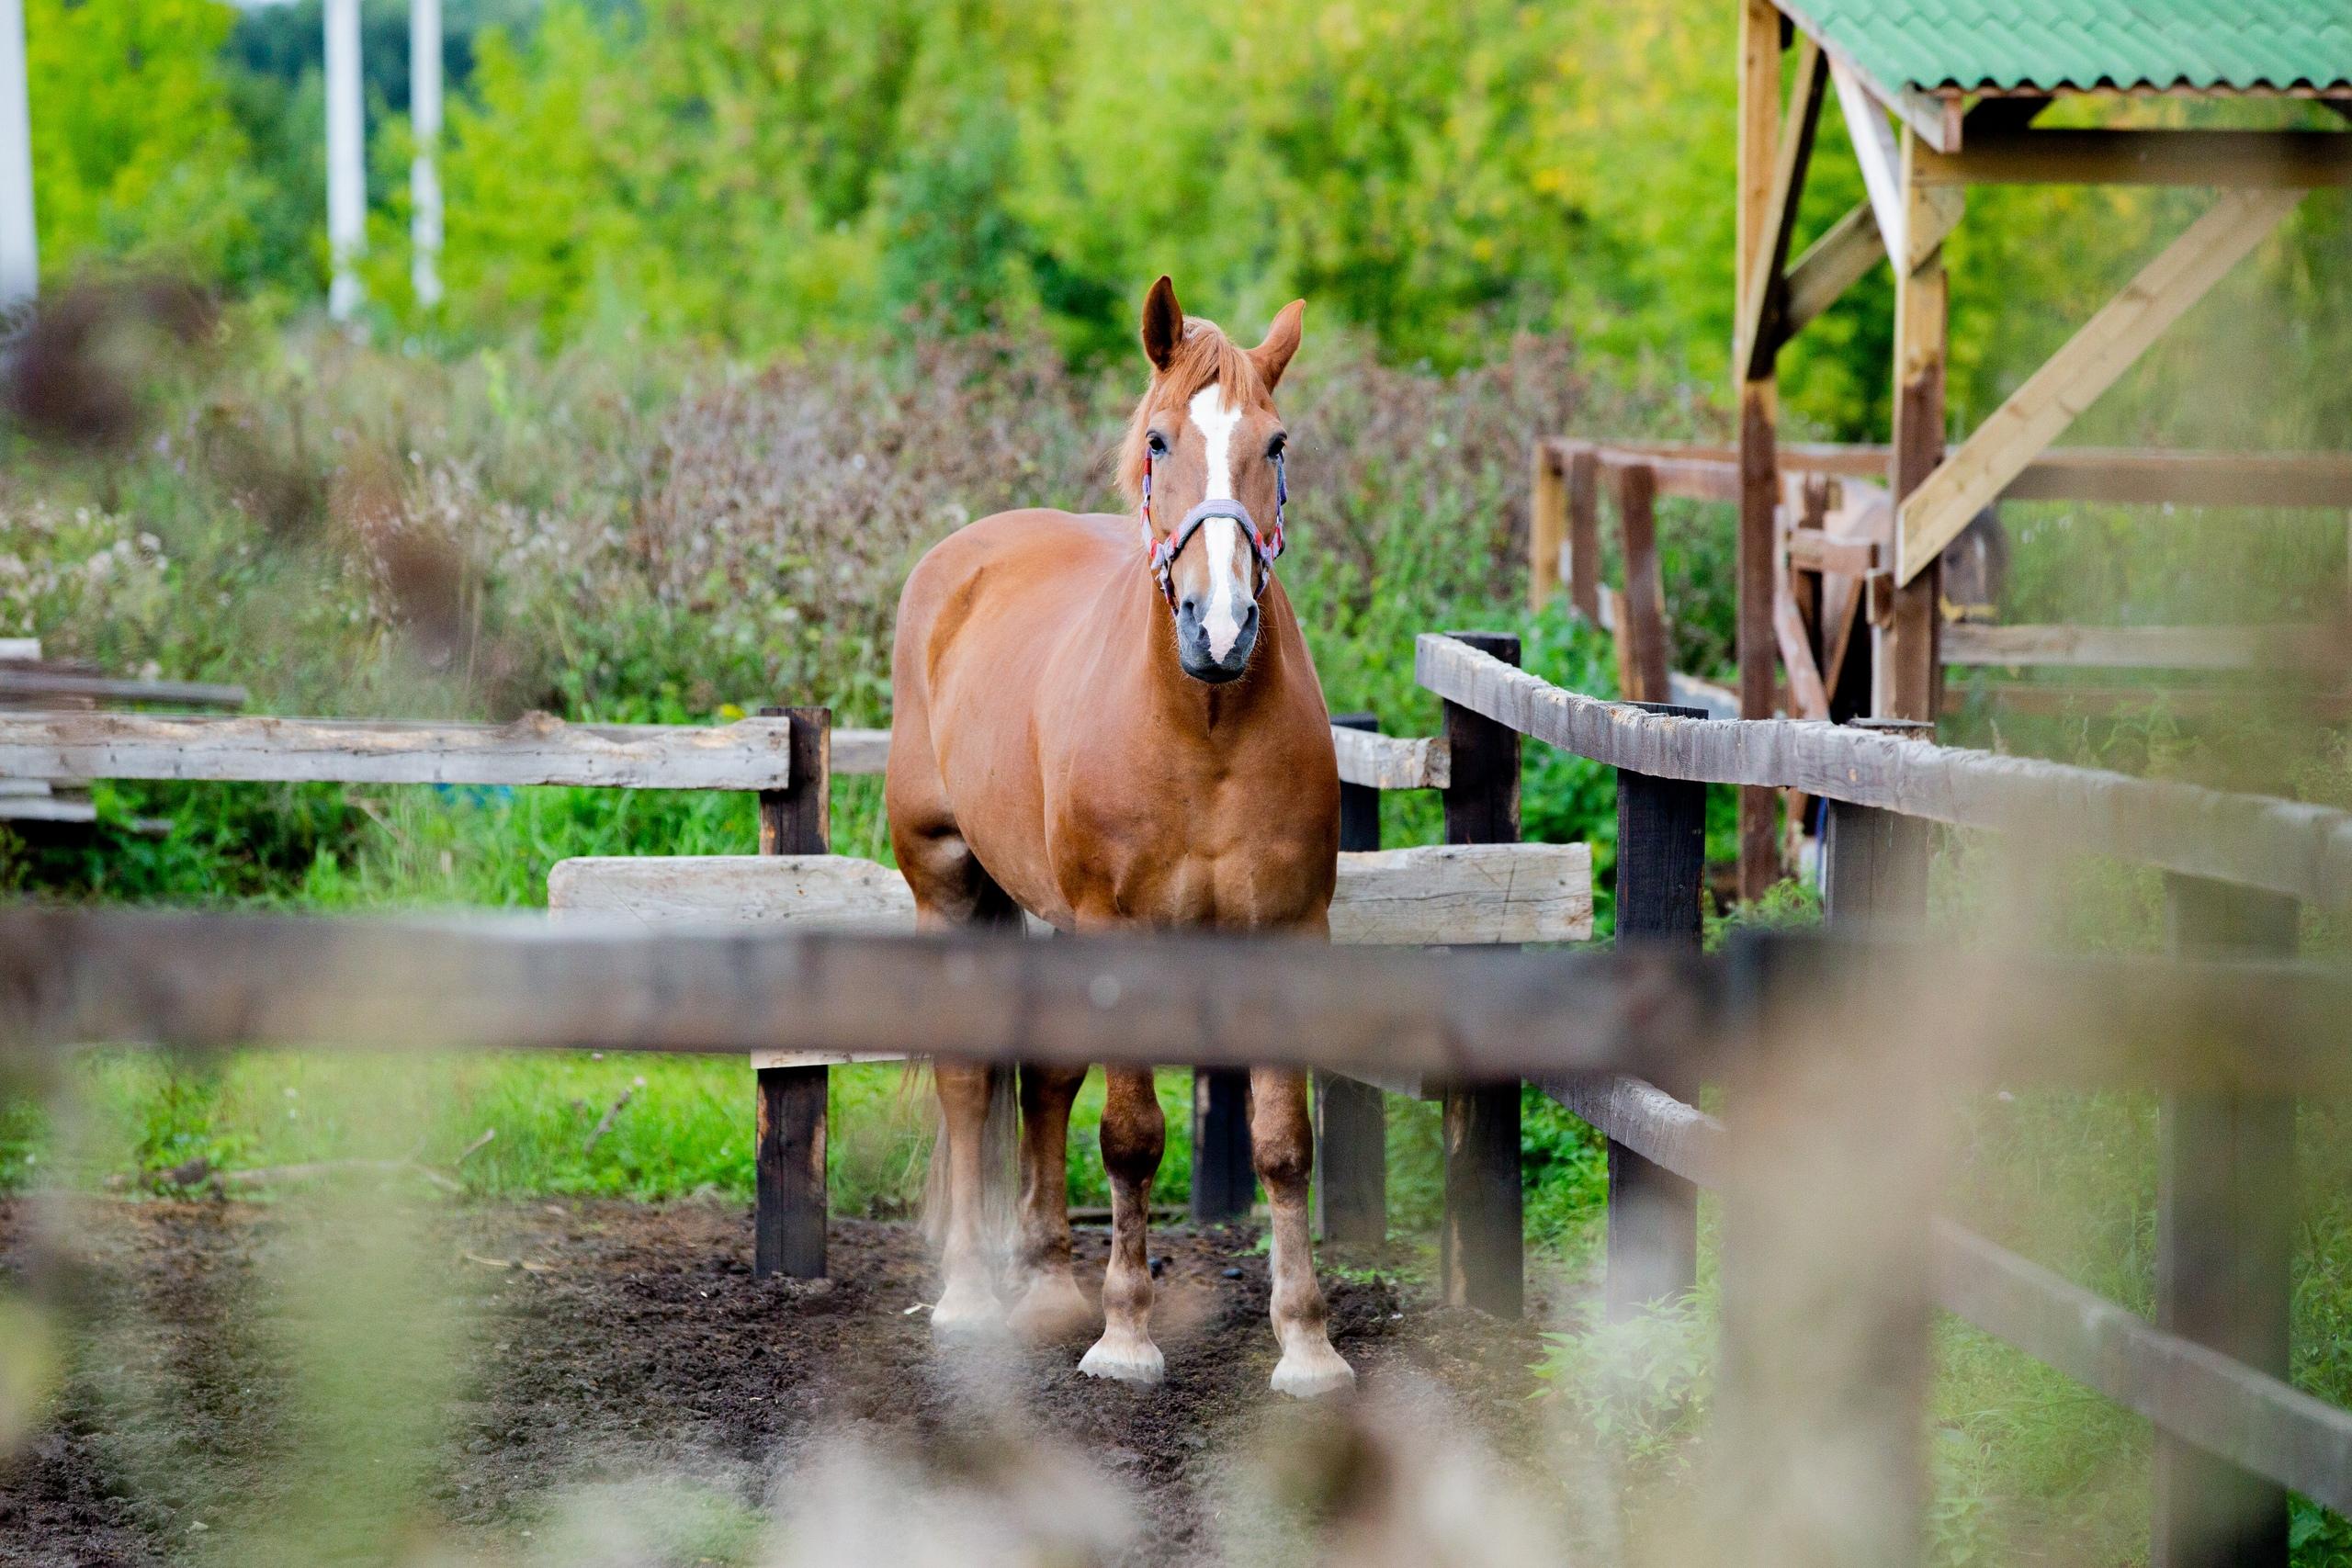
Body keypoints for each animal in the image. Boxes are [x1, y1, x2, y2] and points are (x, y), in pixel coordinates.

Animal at [884, 276, 1363, 1392]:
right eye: (1157, 440)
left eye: (1277, 444)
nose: (1219, 627)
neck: (1204, 724)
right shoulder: (1121, 932)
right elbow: (1134, 1136)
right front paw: (1127, 1335)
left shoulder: (1289, 931)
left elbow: (1283, 1143)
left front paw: (1306, 1343)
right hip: (947, 883)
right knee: (970, 1083)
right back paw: (971, 1296)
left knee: (1046, 1082)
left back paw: (1049, 1286)